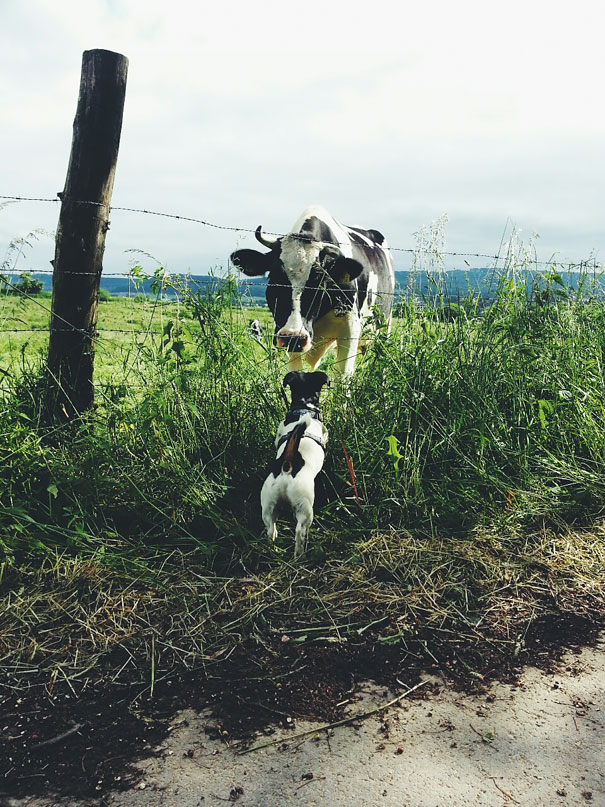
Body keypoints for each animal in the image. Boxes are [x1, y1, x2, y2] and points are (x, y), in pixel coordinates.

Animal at [231, 205, 396, 376]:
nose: (293, 337)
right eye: (274, 276)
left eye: (319, 281)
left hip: (385, 326)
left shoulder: (350, 327)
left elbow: (343, 376)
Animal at [260, 370, 328, 556]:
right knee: (299, 532)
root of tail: (287, 464)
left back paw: (272, 547)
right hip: (305, 509)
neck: (303, 406)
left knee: (270, 529)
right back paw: (299, 555)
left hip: (268, 507)